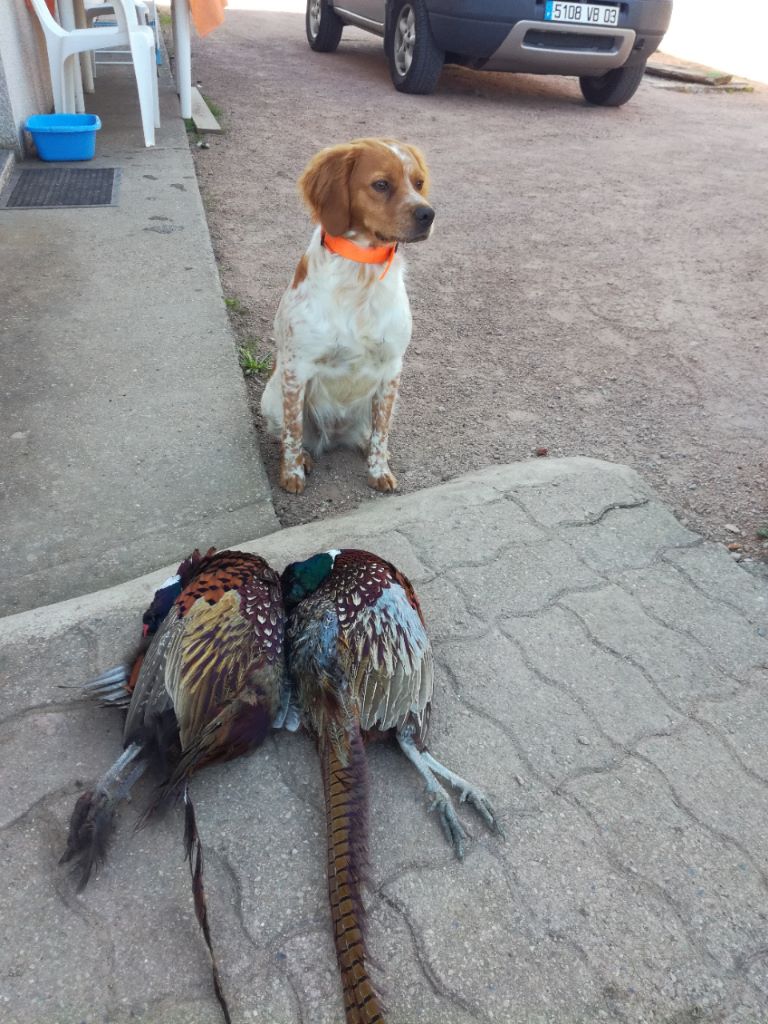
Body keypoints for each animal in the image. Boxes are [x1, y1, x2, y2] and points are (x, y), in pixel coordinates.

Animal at [264, 137, 434, 495]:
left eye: (418, 183)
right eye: (381, 184)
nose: (428, 213)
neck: (361, 271)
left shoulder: (392, 368)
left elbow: (382, 434)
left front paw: (379, 470)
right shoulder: (297, 369)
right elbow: (292, 431)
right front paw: (292, 474)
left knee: (372, 432)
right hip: (271, 395)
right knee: (288, 433)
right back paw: (305, 458)